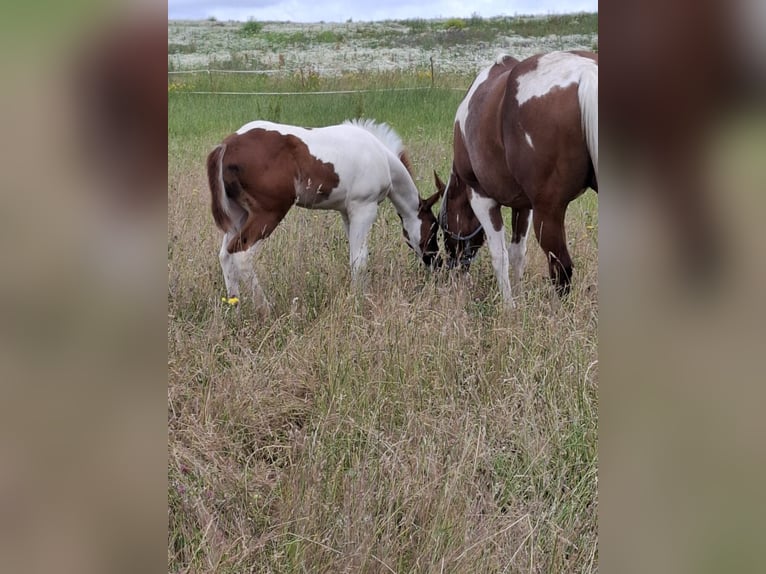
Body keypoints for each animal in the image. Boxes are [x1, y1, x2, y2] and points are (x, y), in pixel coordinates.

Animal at [438, 51, 600, 308]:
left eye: (444, 228)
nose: (452, 270)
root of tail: (586, 72)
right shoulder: (523, 206)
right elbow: (517, 254)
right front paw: (520, 297)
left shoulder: (481, 197)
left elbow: (500, 255)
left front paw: (508, 306)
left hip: (549, 211)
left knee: (561, 267)